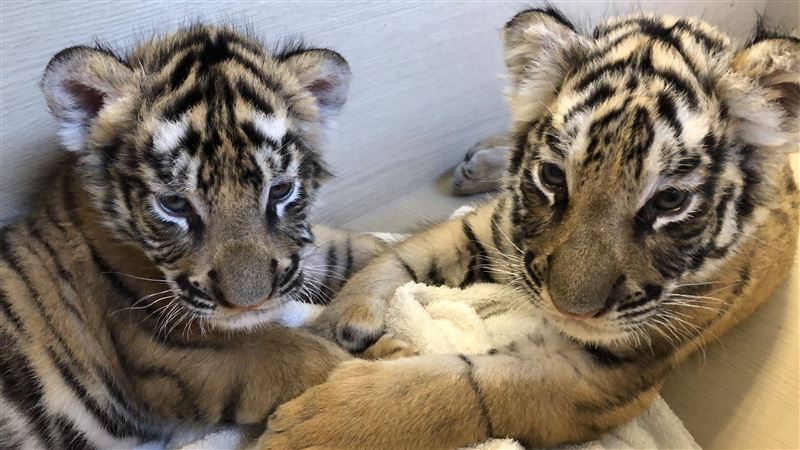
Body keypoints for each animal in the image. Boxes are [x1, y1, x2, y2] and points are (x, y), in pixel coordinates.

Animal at [0, 25, 388, 449]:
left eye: (281, 191)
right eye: (174, 204)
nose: (250, 304)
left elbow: (345, 249)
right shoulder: (174, 353)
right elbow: (309, 358)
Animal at [257, 8, 800, 449]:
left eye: (669, 201)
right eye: (554, 177)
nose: (569, 309)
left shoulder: (599, 376)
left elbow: (466, 386)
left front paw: (315, 427)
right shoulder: (488, 229)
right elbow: (399, 258)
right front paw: (337, 322)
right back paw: (474, 164)